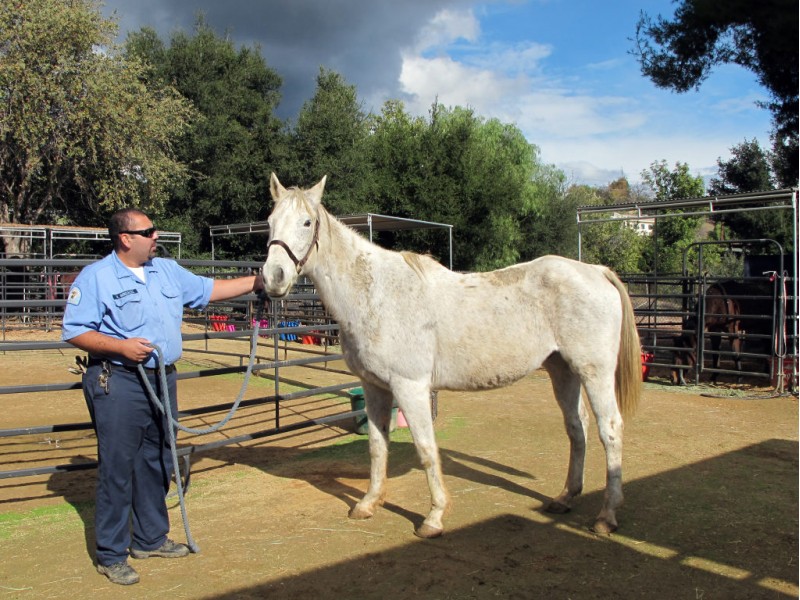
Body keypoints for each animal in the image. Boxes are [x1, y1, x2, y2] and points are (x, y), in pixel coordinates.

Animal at [261, 174, 642, 538]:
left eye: (307, 222)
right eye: (270, 221)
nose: (273, 277)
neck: (376, 294)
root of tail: (596, 271)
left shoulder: (411, 387)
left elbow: (427, 449)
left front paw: (434, 517)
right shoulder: (374, 388)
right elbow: (377, 446)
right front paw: (368, 504)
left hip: (594, 373)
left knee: (610, 429)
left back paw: (606, 517)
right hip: (563, 371)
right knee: (577, 428)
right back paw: (565, 498)